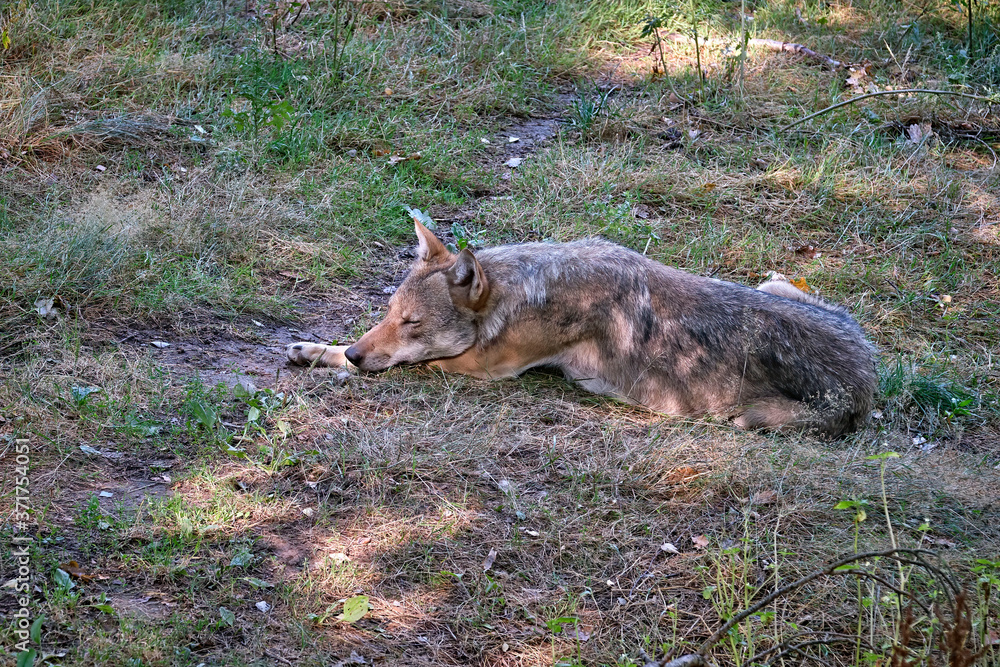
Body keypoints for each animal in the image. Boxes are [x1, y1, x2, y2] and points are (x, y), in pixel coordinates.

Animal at [286, 223, 872, 438]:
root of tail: (873, 376)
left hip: (749, 417)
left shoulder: (483, 369)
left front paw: (326, 355)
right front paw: (316, 347)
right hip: (775, 281)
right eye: (388, 312)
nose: (360, 355)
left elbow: (399, 365)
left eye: (412, 324)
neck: (528, 289)